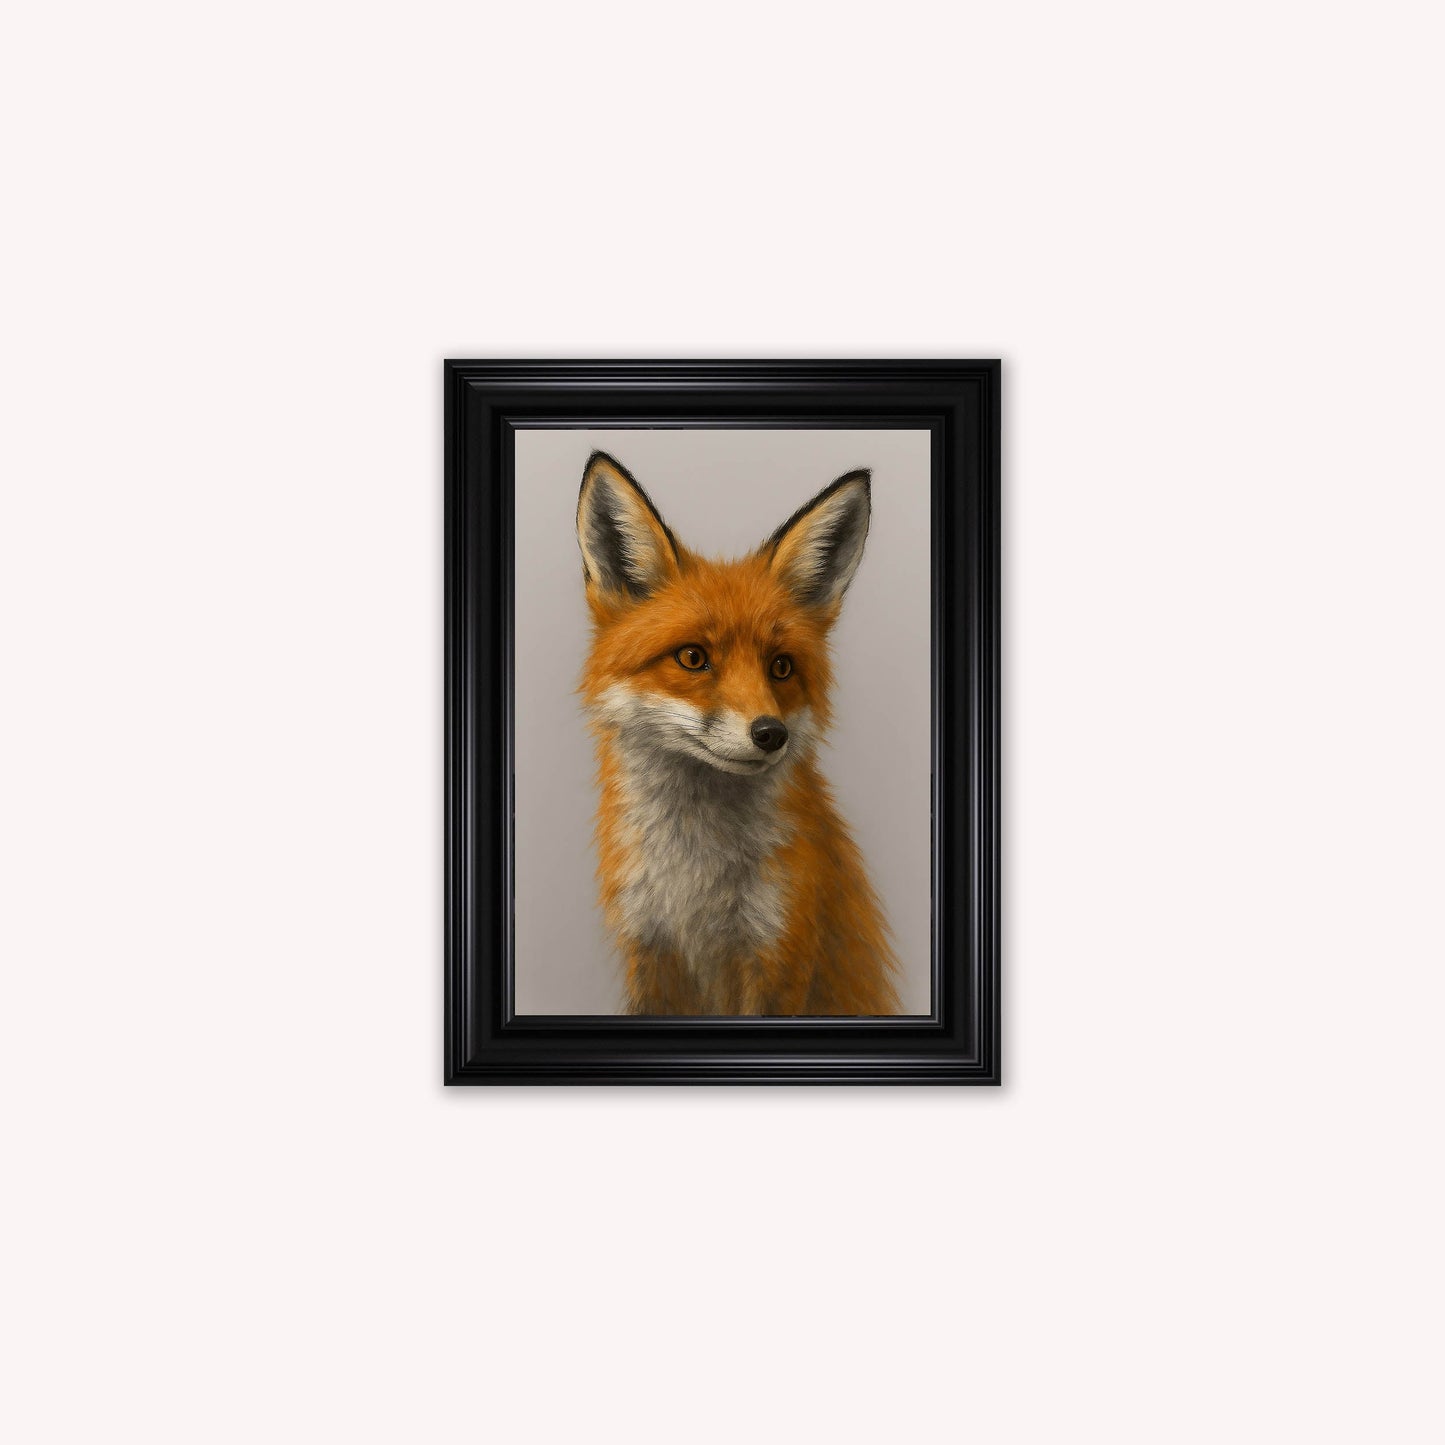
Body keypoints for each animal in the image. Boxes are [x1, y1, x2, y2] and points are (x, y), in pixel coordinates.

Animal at [575, 450, 901, 1016]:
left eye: (781, 667)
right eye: (692, 658)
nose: (771, 734)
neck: (694, 883)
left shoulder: (778, 953)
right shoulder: (650, 950)